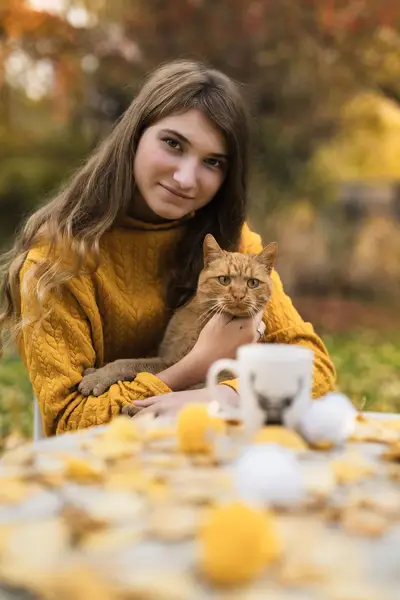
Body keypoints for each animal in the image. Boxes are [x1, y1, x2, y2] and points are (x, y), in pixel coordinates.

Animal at [78, 233, 278, 408]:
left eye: (252, 283)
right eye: (224, 280)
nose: (238, 295)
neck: (199, 313)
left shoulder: (171, 362)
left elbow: (127, 363)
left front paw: (95, 378)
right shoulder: (166, 356)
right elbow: (128, 361)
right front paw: (94, 371)